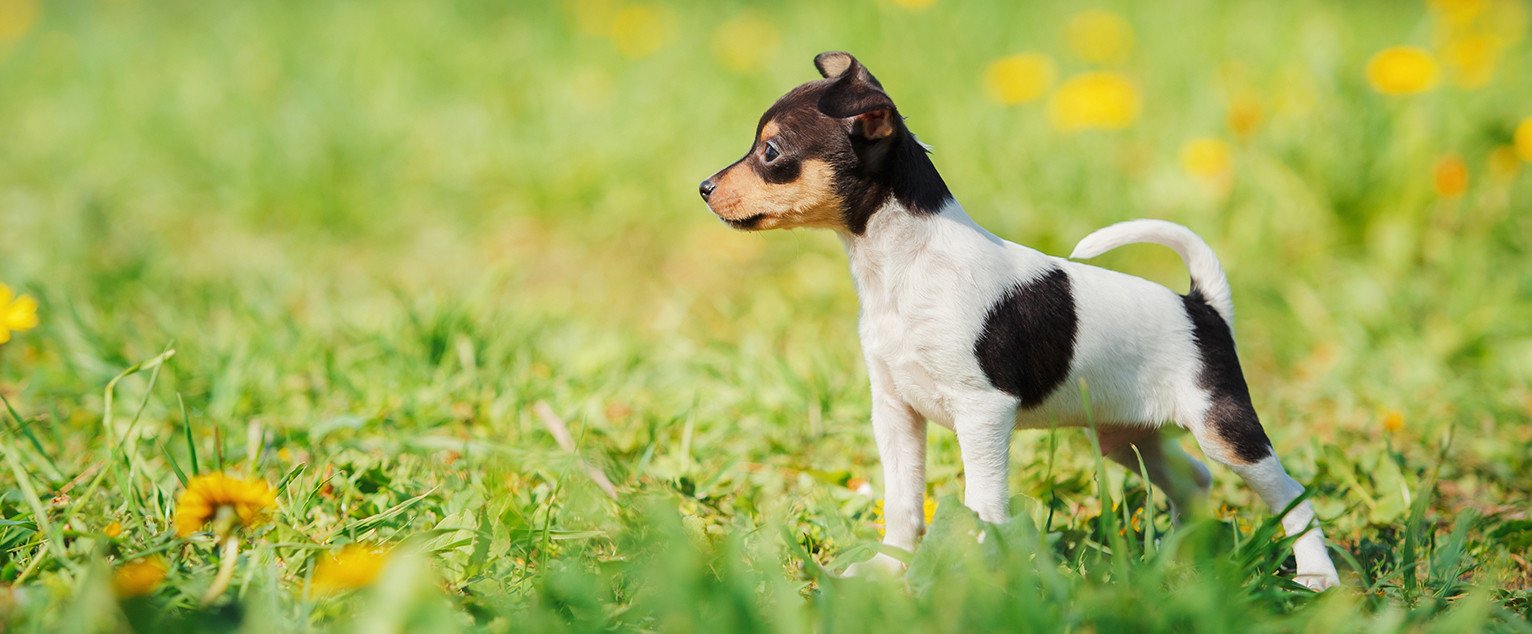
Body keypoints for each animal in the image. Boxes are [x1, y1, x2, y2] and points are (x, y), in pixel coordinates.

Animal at [698, 52, 1342, 591]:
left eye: (771, 152)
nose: (703, 187)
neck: (905, 265)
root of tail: (1201, 306)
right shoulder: (895, 410)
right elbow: (901, 502)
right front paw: (887, 572)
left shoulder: (982, 412)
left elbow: (982, 507)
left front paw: (970, 581)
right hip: (1124, 436)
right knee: (1194, 481)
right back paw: (1182, 562)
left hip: (1223, 429)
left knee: (1291, 495)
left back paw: (1317, 578)